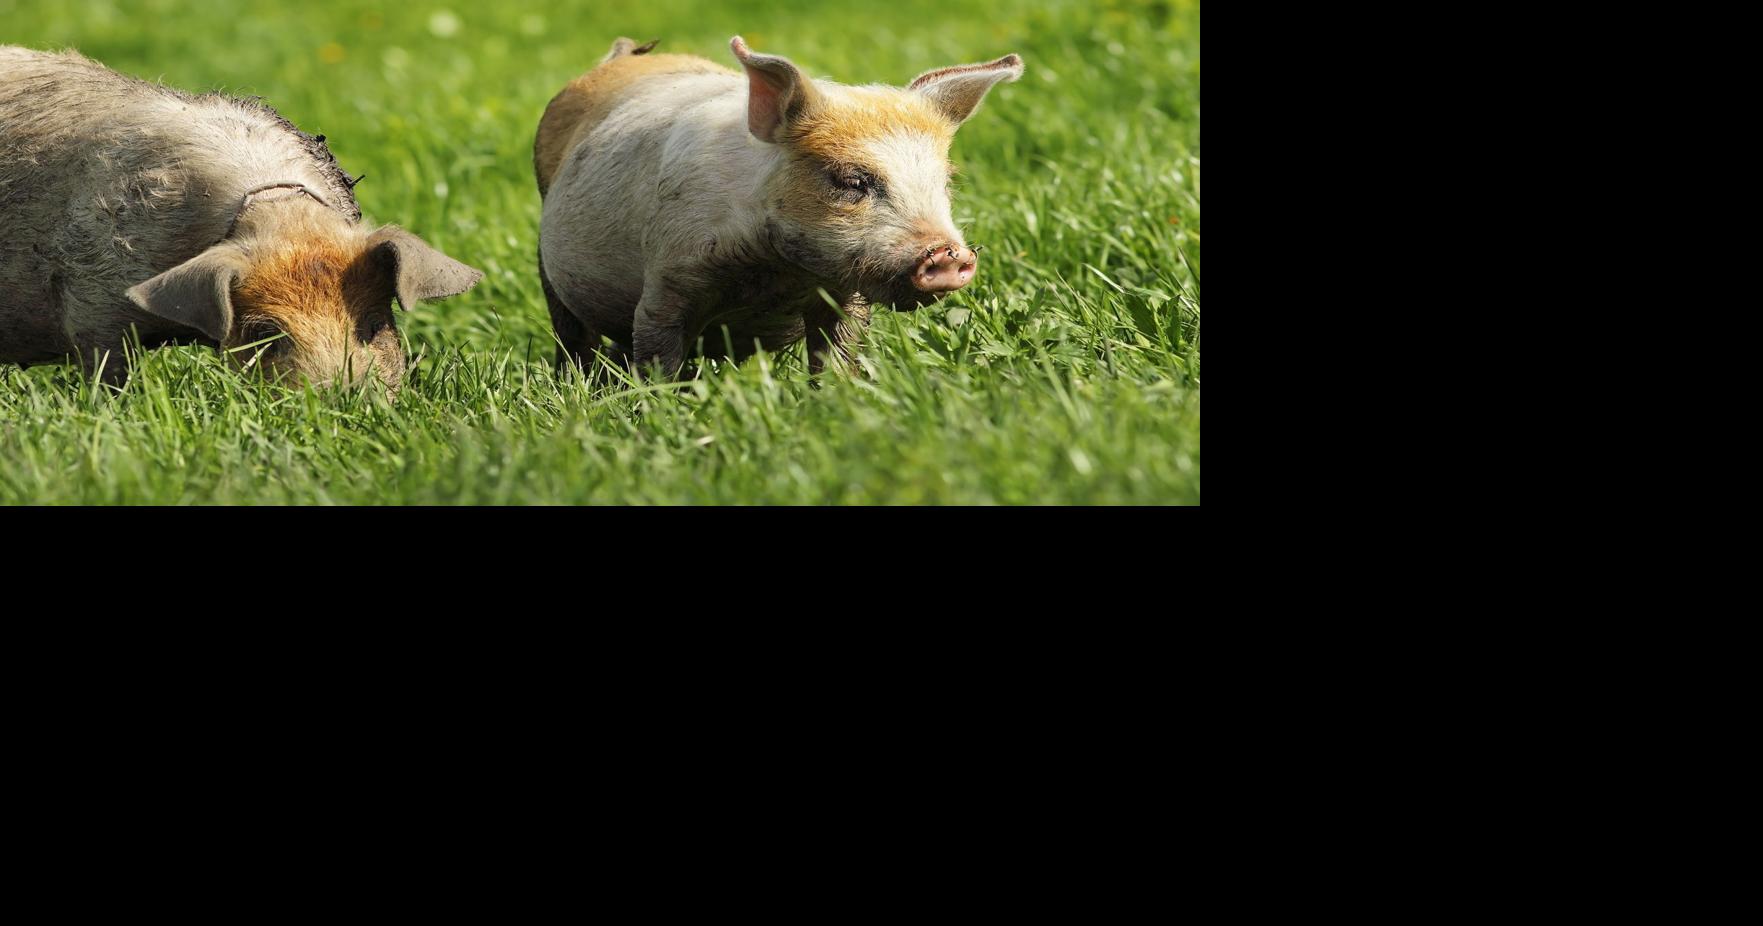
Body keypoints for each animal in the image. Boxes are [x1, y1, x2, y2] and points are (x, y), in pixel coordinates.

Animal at [0, 47, 482, 389]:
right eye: (266, 334)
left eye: (376, 323)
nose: (342, 397)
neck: (280, 211)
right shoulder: (93, 301)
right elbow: (108, 369)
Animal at [534, 36, 1022, 377]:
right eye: (852, 181)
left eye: (945, 182)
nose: (948, 253)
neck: (776, 273)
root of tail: (621, 58)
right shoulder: (667, 279)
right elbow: (658, 354)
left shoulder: (846, 295)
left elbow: (838, 355)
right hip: (546, 257)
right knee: (574, 339)